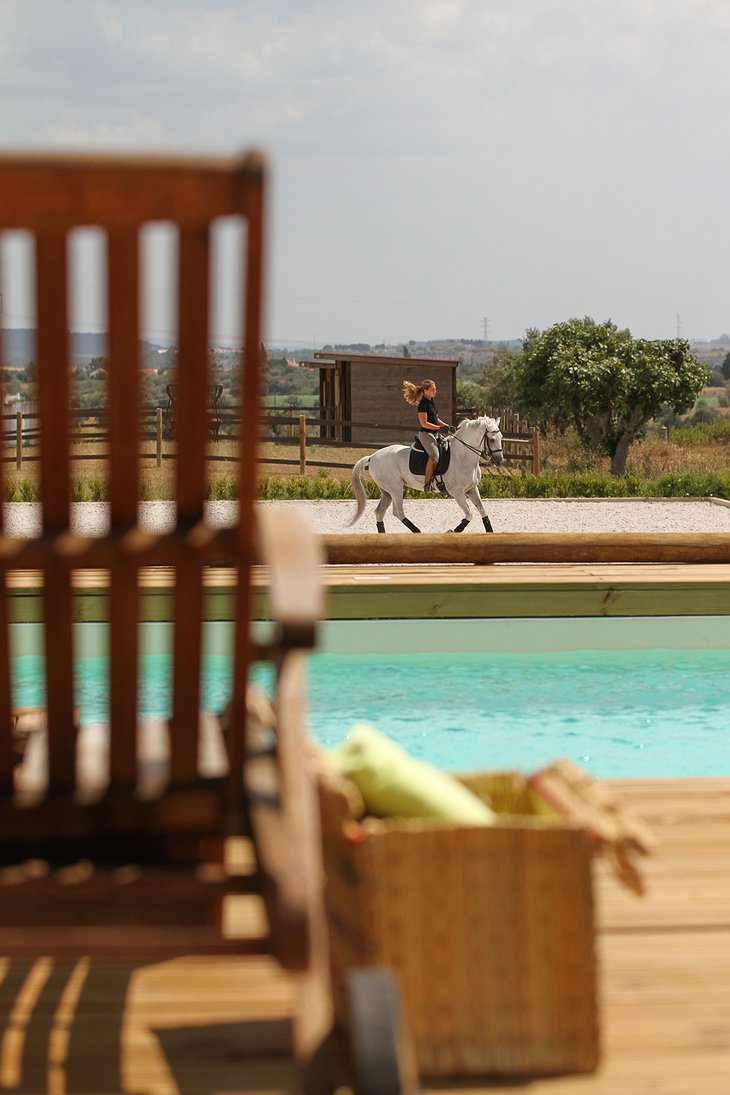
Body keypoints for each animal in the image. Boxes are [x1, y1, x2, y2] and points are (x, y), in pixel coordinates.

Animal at [348, 413, 503, 534]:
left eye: (501, 437)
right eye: (492, 439)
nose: (499, 461)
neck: (463, 456)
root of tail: (373, 456)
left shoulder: (472, 489)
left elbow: (482, 510)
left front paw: (490, 532)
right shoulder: (457, 492)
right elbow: (469, 514)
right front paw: (453, 531)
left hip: (387, 491)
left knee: (380, 512)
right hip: (395, 488)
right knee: (397, 511)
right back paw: (417, 531)